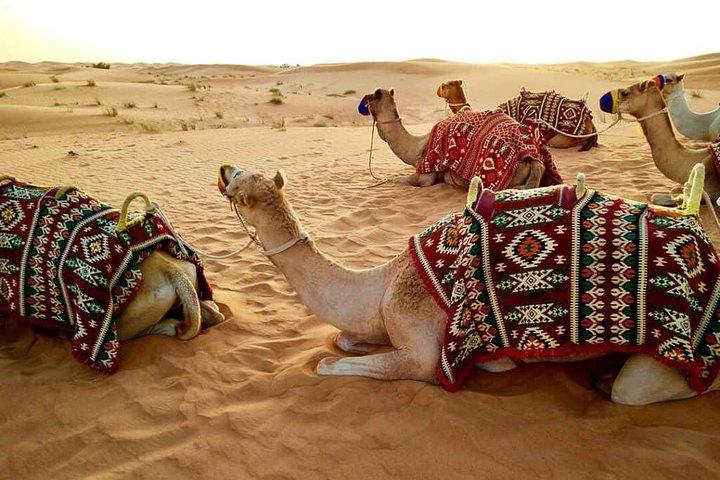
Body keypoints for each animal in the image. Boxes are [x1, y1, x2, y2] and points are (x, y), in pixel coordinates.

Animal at [217, 164, 720, 405]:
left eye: (240, 185)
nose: (223, 168)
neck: (382, 283)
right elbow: (344, 340)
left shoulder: (421, 349)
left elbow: (333, 363)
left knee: (646, 389)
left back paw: (608, 380)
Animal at [361, 88, 546, 189]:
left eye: (370, 97)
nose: (362, 105)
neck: (417, 147)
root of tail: (532, 159)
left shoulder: (425, 175)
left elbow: (397, 180)